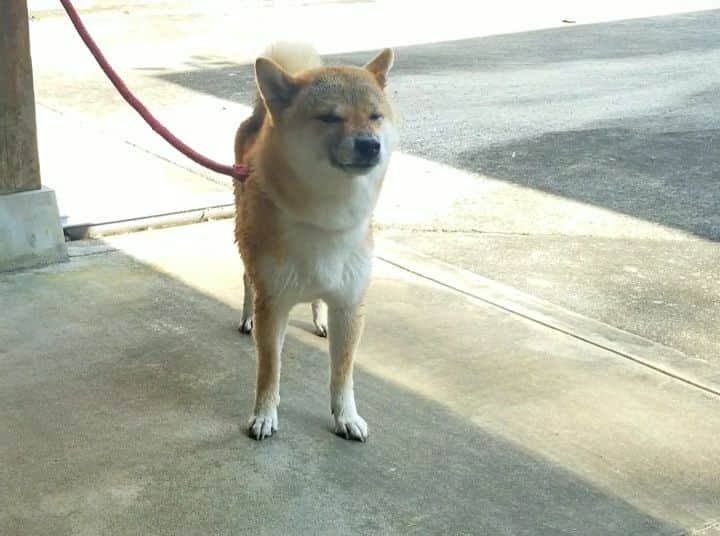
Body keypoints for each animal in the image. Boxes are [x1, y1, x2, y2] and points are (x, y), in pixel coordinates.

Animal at [233, 42, 396, 442]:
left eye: (375, 116)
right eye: (329, 117)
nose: (370, 145)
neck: (326, 218)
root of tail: (259, 116)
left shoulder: (350, 307)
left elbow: (343, 373)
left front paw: (346, 417)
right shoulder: (273, 304)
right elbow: (269, 370)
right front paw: (264, 415)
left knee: (318, 300)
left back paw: (319, 319)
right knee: (247, 279)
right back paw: (245, 316)